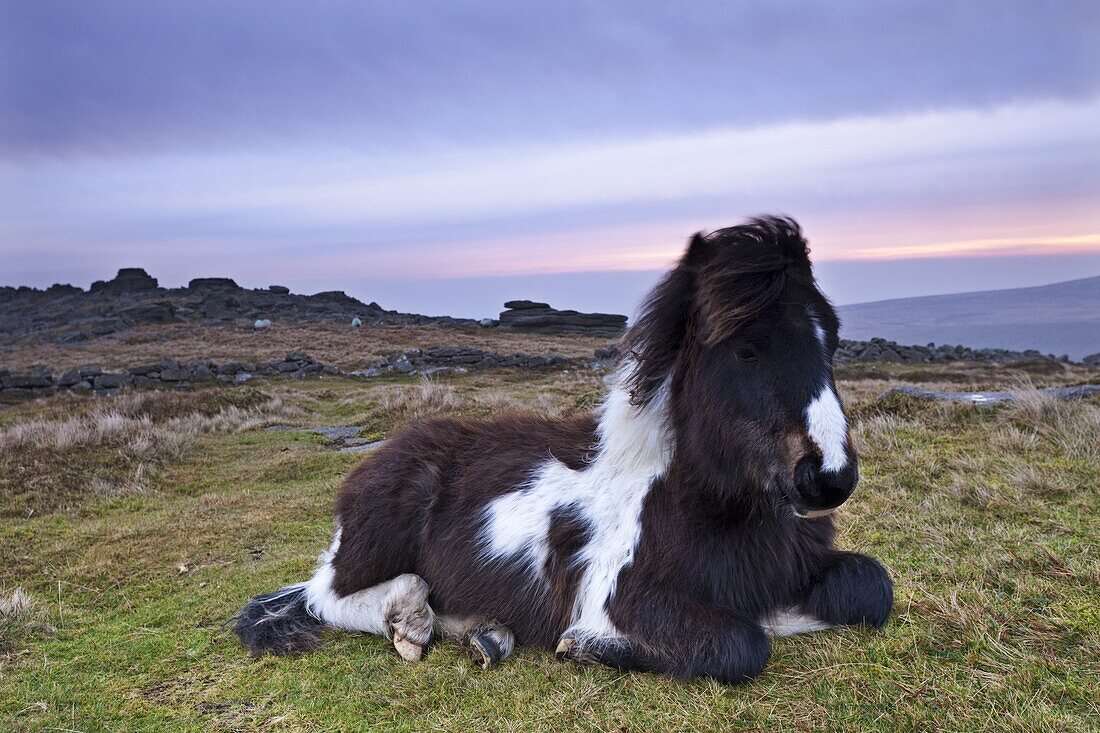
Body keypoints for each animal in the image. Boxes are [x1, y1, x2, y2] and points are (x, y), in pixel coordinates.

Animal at [234, 215, 893, 677]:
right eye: (746, 348)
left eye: (831, 339)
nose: (828, 477)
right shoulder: (624, 596)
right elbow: (741, 645)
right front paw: (586, 646)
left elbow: (871, 586)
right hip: (377, 536)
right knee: (328, 596)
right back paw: (412, 620)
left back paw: (482, 632)